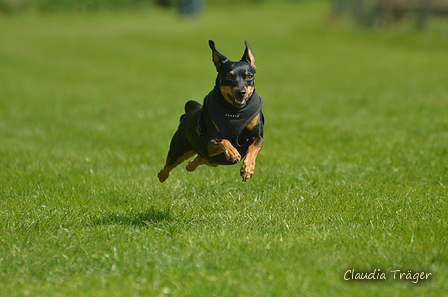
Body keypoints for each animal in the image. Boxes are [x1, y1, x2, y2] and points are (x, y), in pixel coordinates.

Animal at [158, 40, 262, 182]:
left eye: (249, 76)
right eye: (229, 76)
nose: (241, 92)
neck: (235, 111)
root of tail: (192, 110)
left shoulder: (258, 137)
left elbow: (253, 148)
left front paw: (248, 169)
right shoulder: (210, 142)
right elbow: (224, 140)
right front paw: (233, 153)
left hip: (213, 160)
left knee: (201, 159)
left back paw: (190, 165)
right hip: (180, 149)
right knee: (170, 164)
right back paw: (162, 175)